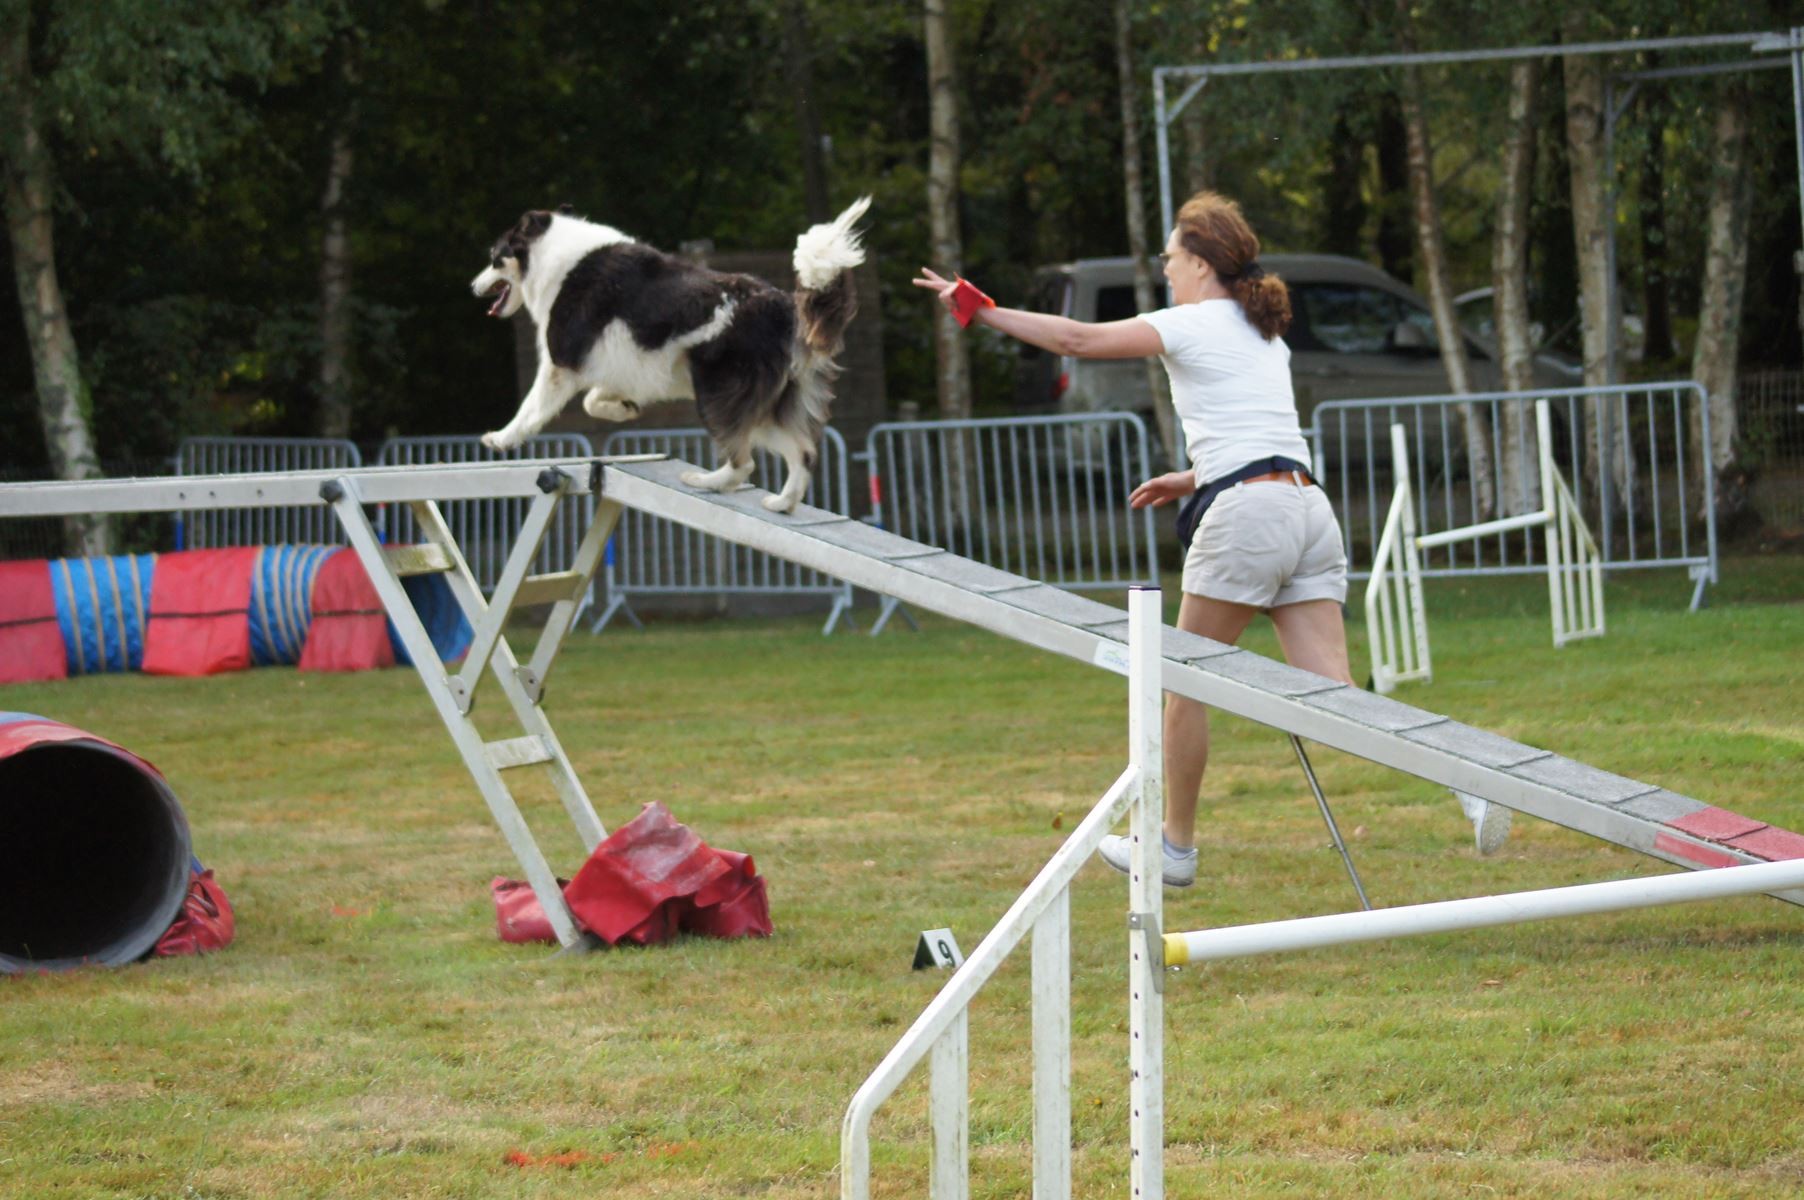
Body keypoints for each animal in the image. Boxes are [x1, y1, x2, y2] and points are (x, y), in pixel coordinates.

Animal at [469, 195, 869, 508]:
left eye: (494, 258)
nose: (473, 287)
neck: (549, 253)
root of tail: (783, 305)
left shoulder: (559, 363)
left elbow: (531, 409)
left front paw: (500, 439)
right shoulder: (621, 363)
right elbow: (593, 401)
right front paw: (624, 409)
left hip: (717, 394)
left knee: (743, 462)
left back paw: (705, 482)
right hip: (767, 406)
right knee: (803, 452)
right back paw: (781, 503)